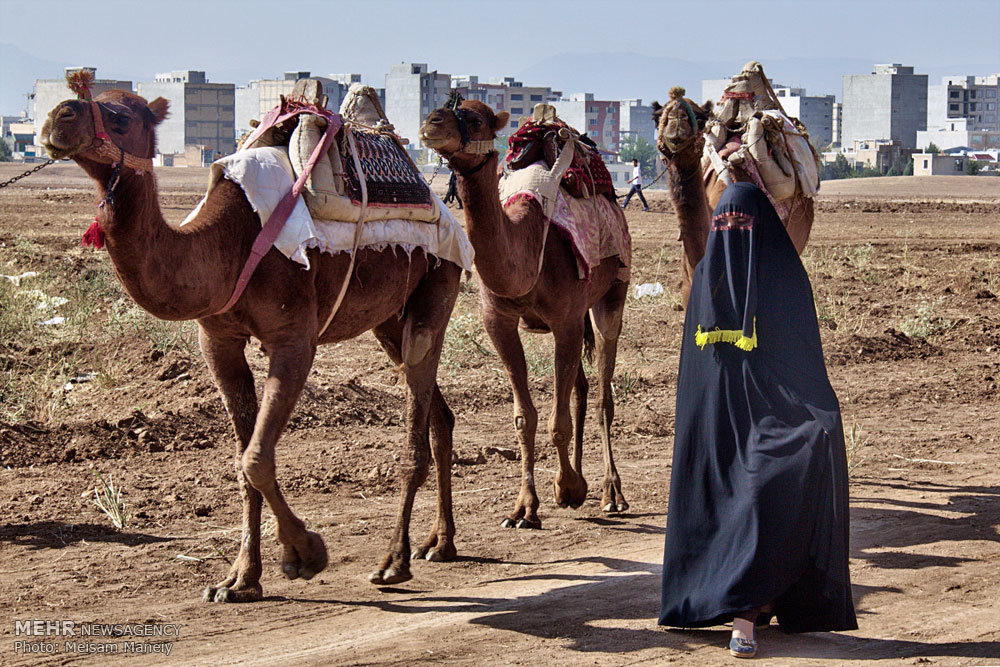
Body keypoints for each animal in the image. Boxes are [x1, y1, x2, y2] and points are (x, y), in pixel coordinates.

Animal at [37, 90, 460, 600]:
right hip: (387, 320)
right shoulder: (217, 340)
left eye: (119, 116)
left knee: (417, 406)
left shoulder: (294, 338)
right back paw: (441, 543)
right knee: (439, 413)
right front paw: (240, 579)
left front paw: (305, 554)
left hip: (439, 279)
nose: (58, 116)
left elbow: (256, 459)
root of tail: (447, 212)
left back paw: (395, 561)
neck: (225, 242)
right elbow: (241, 463)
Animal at [420, 99, 624, 528]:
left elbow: (557, 422)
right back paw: (583, 480)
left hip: (612, 291)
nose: (431, 122)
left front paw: (566, 488)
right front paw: (526, 506)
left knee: (602, 393)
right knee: (581, 389)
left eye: (475, 118)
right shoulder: (498, 320)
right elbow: (524, 417)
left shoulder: (565, 318)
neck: (526, 239)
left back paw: (611, 492)